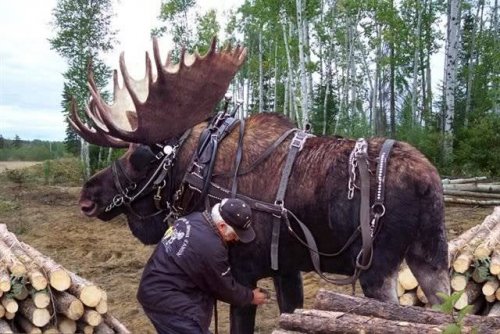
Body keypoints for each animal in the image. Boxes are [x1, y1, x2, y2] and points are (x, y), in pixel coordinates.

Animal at [70, 39, 450, 334]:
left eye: (138, 157)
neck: (198, 170)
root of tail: (428, 181)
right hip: (429, 253)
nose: (87, 197)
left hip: (377, 268)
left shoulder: (243, 271)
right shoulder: (286, 269)